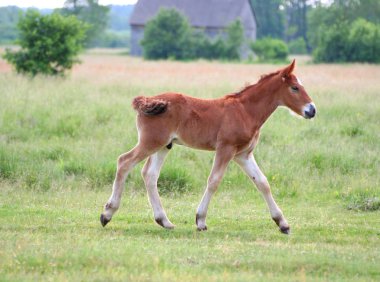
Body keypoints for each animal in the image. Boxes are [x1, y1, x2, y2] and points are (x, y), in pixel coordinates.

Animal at [100, 59, 314, 234]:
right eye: (295, 87)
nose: (312, 110)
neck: (245, 111)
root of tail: (148, 100)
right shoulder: (226, 149)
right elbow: (214, 181)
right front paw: (200, 220)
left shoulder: (243, 154)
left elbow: (262, 182)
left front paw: (283, 223)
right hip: (151, 142)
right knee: (124, 161)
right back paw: (107, 214)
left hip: (163, 146)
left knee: (149, 174)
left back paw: (164, 221)